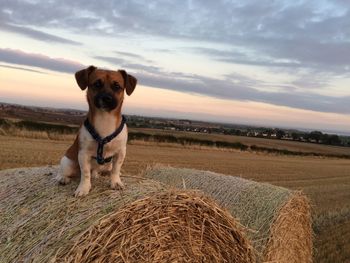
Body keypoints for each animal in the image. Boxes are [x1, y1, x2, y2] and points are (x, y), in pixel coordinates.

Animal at [55, 66, 136, 198]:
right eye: (97, 84)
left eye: (117, 86)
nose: (107, 98)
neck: (105, 119)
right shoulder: (83, 154)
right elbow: (85, 173)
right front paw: (83, 188)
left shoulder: (120, 152)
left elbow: (116, 170)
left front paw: (116, 182)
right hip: (67, 163)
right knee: (63, 172)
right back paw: (63, 178)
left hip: (106, 165)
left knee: (103, 171)